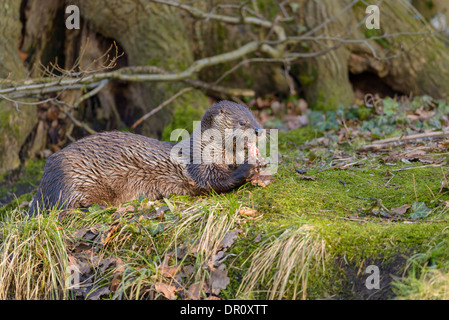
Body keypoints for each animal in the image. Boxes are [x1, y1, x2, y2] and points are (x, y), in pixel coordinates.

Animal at [28, 100, 264, 215]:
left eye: (254, 117)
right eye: (242, 122)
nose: (259, 130)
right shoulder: (198, 164)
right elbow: (213, 180)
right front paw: (248, 167)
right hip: (70, 176)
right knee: (61, 208)